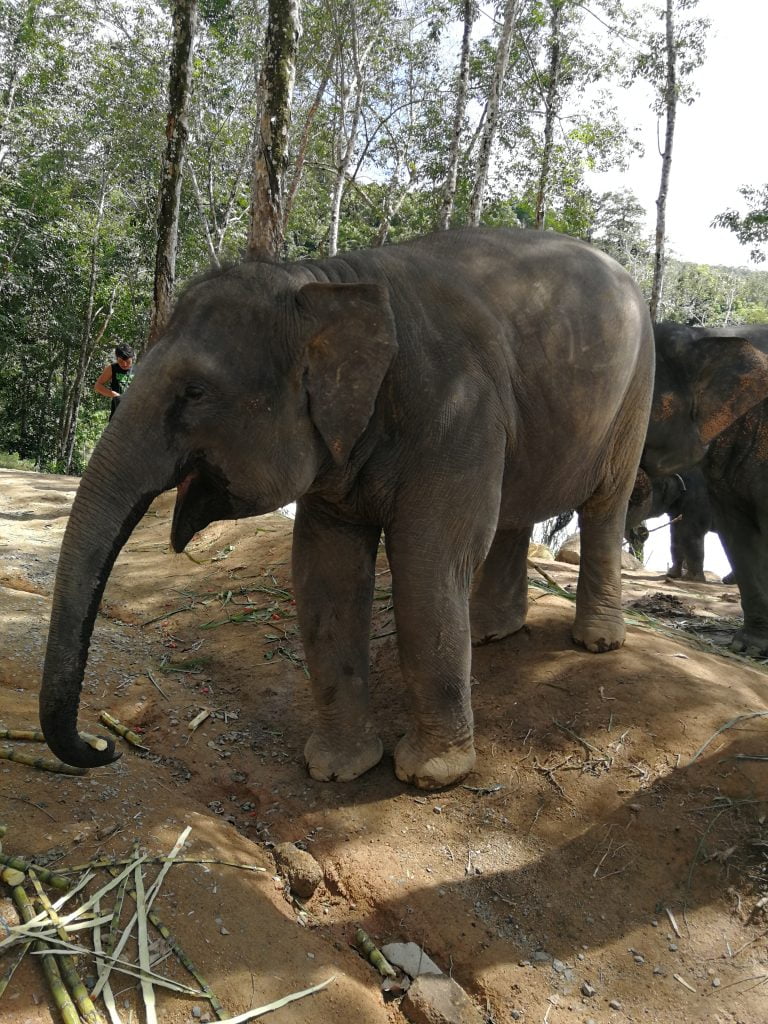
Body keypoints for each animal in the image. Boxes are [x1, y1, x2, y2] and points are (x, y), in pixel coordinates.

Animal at [39, 228, 659, 786]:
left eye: (195, 392)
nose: (105, 745)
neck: (328, 280)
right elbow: (325, 573)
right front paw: (337, 770)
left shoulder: (459, 412)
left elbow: (427, 565)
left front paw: (431, 774)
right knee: (518, 509)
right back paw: (489, 632)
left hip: (636, 393)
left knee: (605, 506)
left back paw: (597, 641)